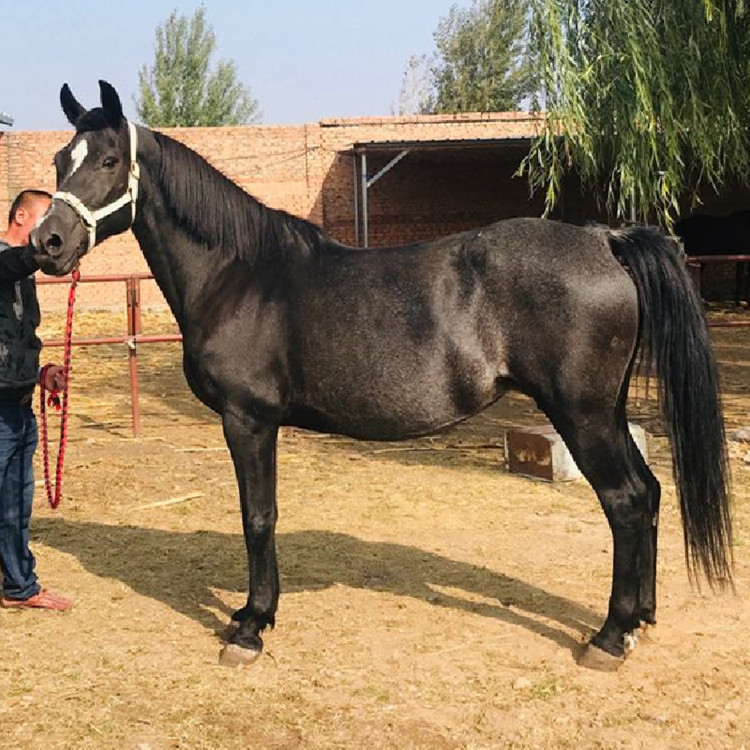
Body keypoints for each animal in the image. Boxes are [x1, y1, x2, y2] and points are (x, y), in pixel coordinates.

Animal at [33, 81, 732, 671]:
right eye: (60, 161)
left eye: (107, 161)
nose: (48, 243)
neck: (241, 276)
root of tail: (606, 241)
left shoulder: (248, 420)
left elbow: (258, 517)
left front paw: (251, 626)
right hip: (607, 412)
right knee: (650, 494)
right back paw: (640, 619)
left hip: (582, 415)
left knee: (626, 501)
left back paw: (609, 637)